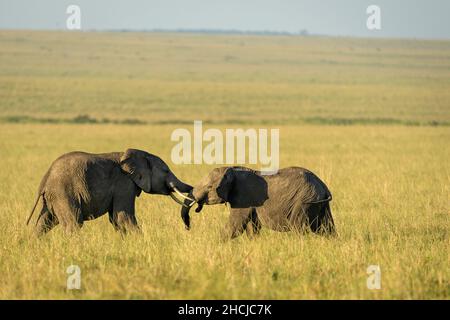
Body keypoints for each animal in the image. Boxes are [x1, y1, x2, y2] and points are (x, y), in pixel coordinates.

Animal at [26, 149, 193, 236]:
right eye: (166, 171)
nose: (187, 228)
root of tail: (46, 179)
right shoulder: (124, 184)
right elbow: (124, 217)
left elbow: (116, 219)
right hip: (64, 193)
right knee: (73, 224)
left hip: (53, 197)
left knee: (43, 223)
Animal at [181, 166, 336, 239]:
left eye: (209, 187)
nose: (188, 227)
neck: (231, 170)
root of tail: (324, 187)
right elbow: (252, 227)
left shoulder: (243, 198)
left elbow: (235, 226)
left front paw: (217, 244)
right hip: (319, 203)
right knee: (326, 228)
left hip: (304, 201)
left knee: (298, 228)